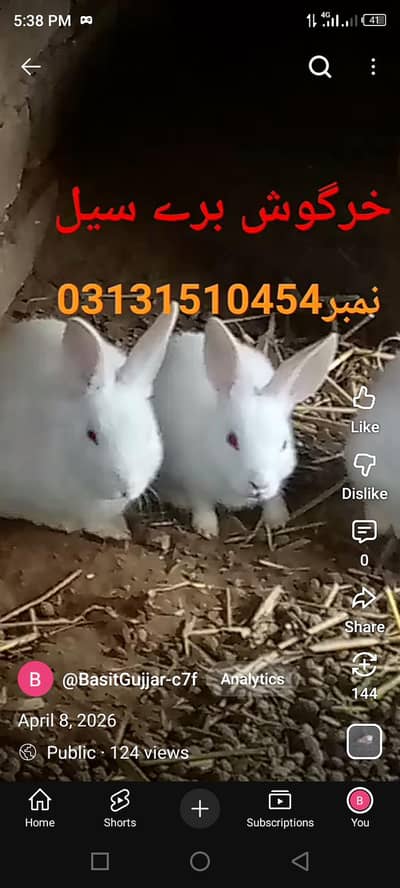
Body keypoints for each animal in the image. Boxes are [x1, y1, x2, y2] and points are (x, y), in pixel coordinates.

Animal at [153, 317, 338, 538]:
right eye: (232, 440)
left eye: (284, 444)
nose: (259, 484)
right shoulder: (194, 478)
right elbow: (202, 503)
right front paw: (207, 529)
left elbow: (273, 498)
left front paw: (277, 520)